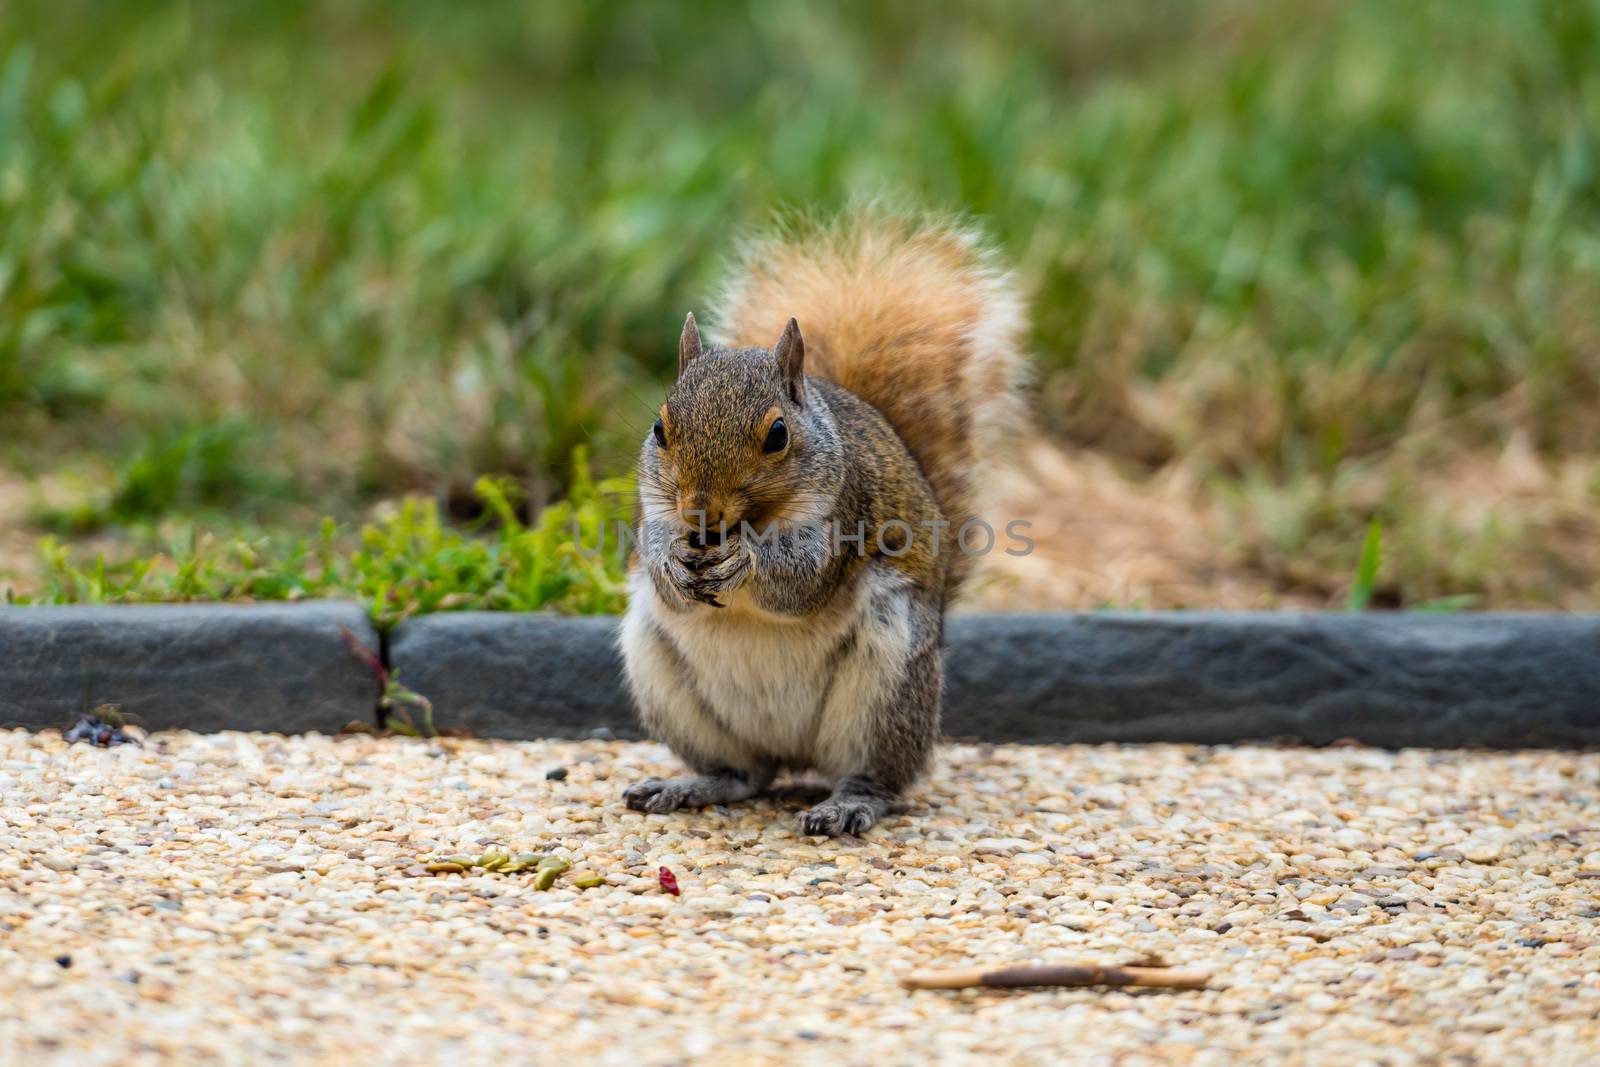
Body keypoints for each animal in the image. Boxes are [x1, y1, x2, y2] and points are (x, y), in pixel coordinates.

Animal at [617, 212, 1030, 831]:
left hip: (888, 682)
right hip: (665, 679)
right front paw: (670, 563)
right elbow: (661, 565)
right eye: (660, 430)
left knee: (877, 775)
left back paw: (849, 803)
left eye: (777, 435)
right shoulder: (656, 510)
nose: (701, 514)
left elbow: (802, 581)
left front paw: (745, 561)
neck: (748, 522)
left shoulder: (844, 513)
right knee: (745, 774)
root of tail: (794, 752)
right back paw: (689, 785)